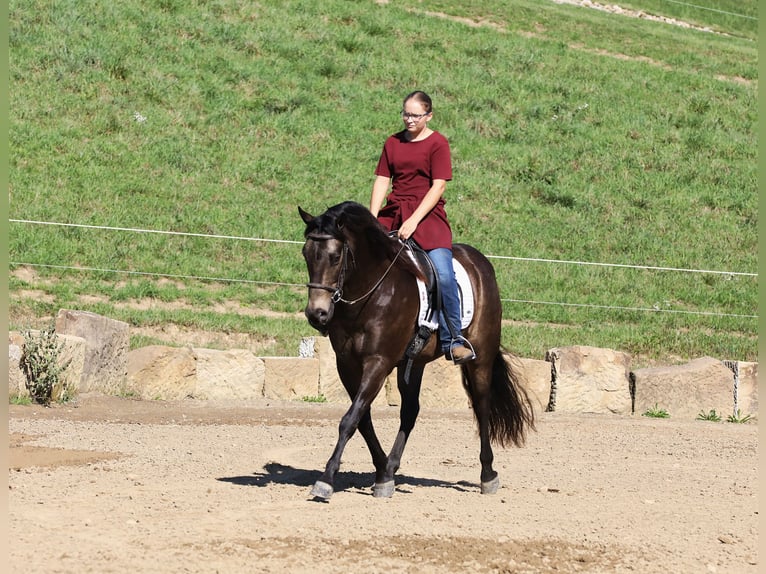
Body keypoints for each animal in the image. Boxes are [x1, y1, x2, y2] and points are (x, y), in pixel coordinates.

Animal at [298, 200, 536, 502]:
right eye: (306, 254)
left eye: (335, 256)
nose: (316, 314)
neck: (371, 291)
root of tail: (480, 261)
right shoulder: (347, 365)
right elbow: (362, 419)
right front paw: (382, 473)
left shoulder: (378, 362)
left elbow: (350, 419)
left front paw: (326, 480)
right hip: (414, 362)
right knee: (410, 410)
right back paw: (390, 469)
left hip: (480, 358)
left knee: (482, 406)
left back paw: (488, 475)